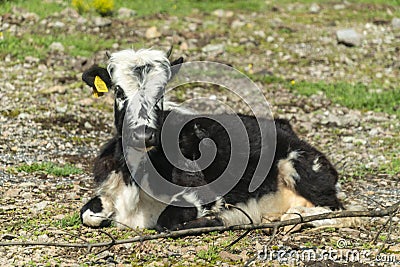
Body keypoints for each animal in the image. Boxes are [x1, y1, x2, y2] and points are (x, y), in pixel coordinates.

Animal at [79, 48, 342, 232]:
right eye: (119, 91)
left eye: (161, 93)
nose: (144, 134)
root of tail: (283, 125)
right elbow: (87, 214)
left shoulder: (205, 194)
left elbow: (170, 222)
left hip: (301, 166)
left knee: (334, 210)